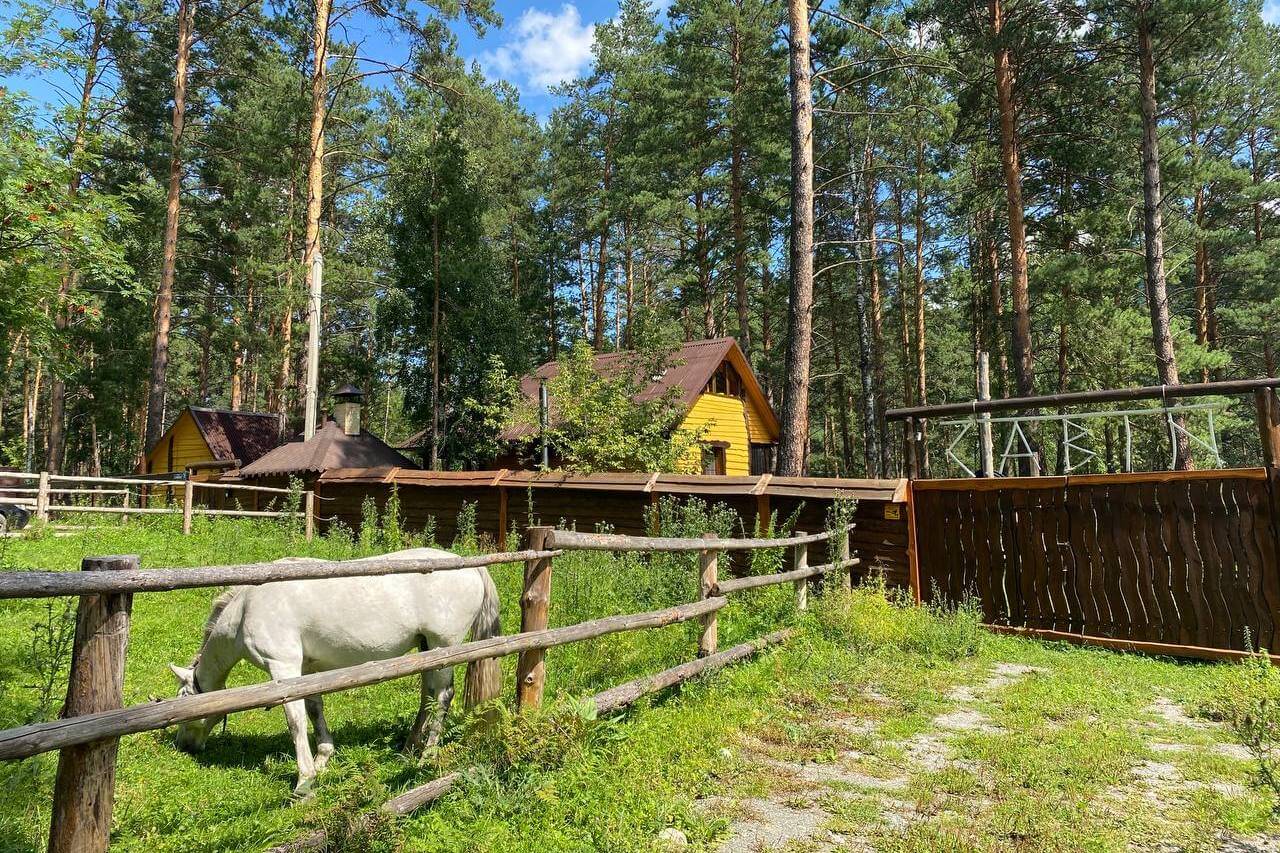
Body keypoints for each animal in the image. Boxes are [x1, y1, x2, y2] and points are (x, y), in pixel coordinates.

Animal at [168, 548, 504, 794]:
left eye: (184, 703)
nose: (183, 747)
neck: (248, 608)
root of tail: (469, 566)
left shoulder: (283, 668)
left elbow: (295, 720)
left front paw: (305, 780)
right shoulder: (305, 669)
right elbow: (314, 709)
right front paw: (323, 759)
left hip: (442, 646)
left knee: (444, 696)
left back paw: (427, 756)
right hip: (425, 649)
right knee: (429, 695)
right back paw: (410, 747)